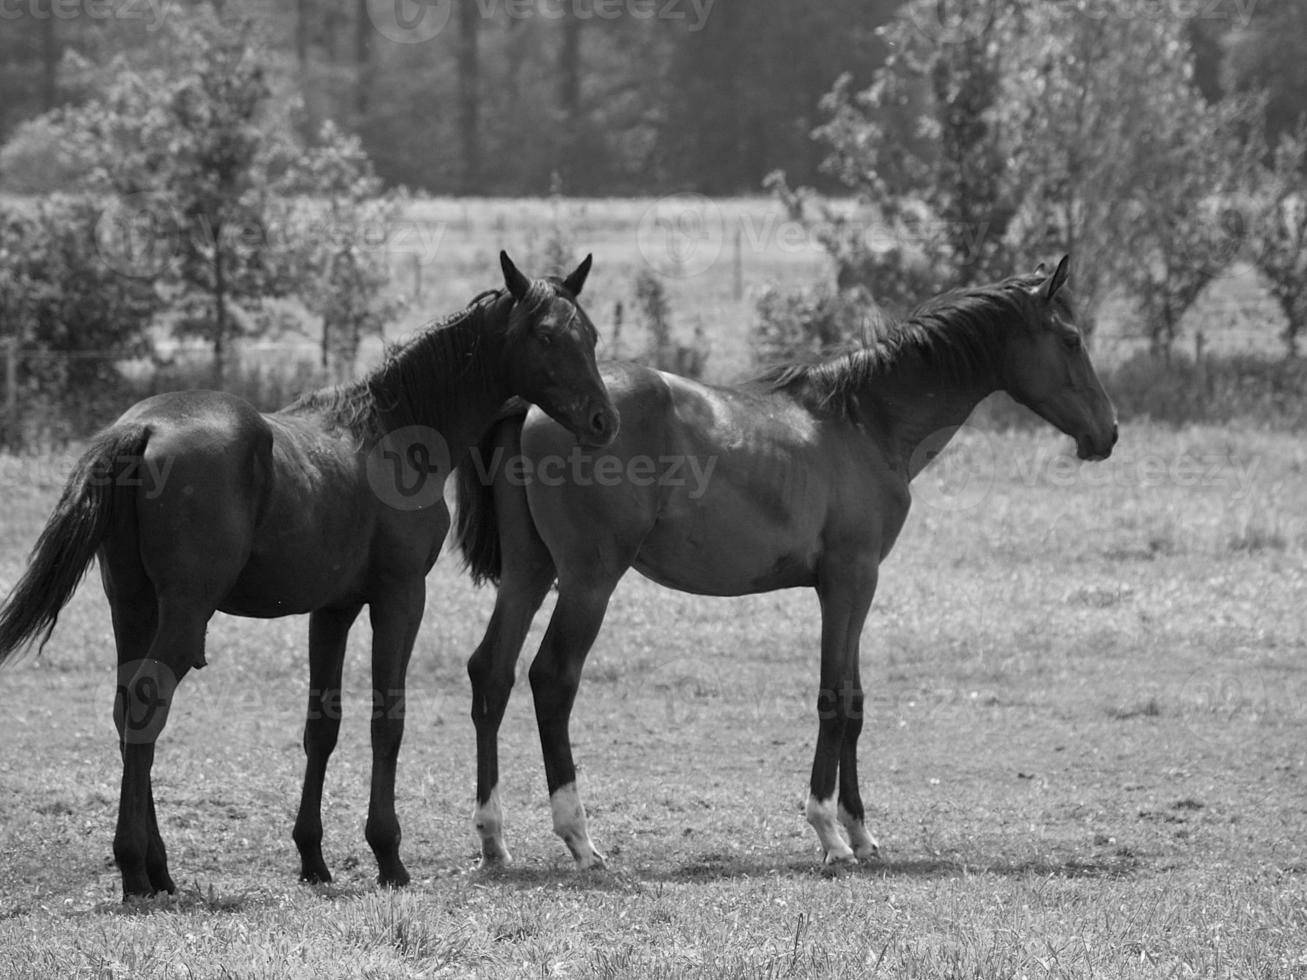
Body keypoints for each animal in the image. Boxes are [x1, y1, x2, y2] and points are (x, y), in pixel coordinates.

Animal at [0, 250, 619, 898]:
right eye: (545, 335)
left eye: (591, 335)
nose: (605, 419)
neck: (394, 432)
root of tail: (143, 430)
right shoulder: (401, 598)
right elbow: (387, 720)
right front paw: (388, 855)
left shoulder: (333, 610)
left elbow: (322, 726)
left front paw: (313, 857)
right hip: (183, 614)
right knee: (148, 705)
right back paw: (134, 870)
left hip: (133, 606)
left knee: (128, 711)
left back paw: (158, 869)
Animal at [457, 257, 1113, 872]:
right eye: (1071, 339)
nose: (1106, 433)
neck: (863, 421)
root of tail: (534, 406)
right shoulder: (851, 581)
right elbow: (833, 698)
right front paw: (829, 833)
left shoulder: (851, 586)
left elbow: (854, 702)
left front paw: (861, 833)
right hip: (589, 581)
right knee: (552, 678)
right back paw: (580, 839)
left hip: (530, 574)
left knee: (491, 673)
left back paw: (494, 840)